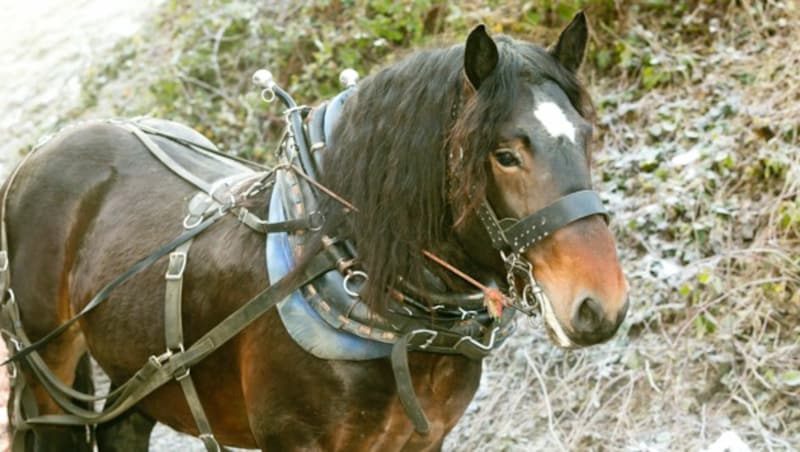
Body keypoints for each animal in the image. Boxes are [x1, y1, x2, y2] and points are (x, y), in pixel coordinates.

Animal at [3, 12, 628, 450]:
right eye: (505, 154)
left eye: (587, 134)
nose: (602, 306)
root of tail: (43, 149)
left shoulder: (423, 440)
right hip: (49, 368)